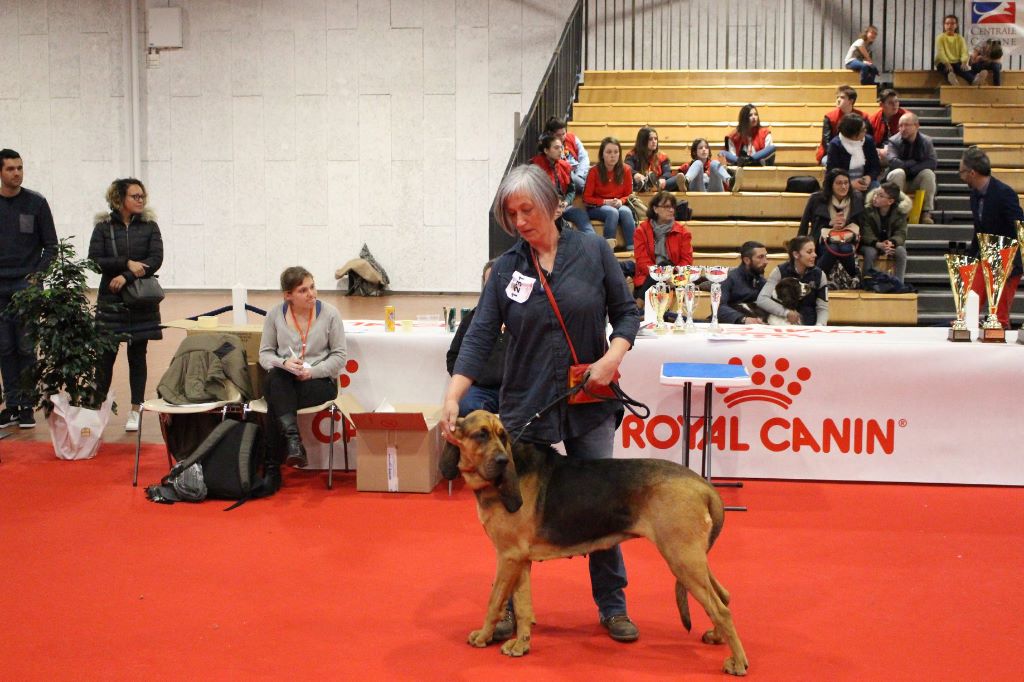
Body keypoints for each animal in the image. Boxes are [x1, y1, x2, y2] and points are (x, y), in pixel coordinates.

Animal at [442, 409, 753, 675]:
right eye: (481, 435)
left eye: (502, 436)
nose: (502, 462)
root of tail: (704, 485)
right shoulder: (519, 559)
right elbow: (522, 606)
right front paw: (521, 644)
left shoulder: (507, 557)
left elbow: (494, 601)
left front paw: (483, 637)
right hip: (692, 559)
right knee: (723, 595)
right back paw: (717, 637)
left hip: (682, 559)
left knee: (721, 609)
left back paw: (738, 662)